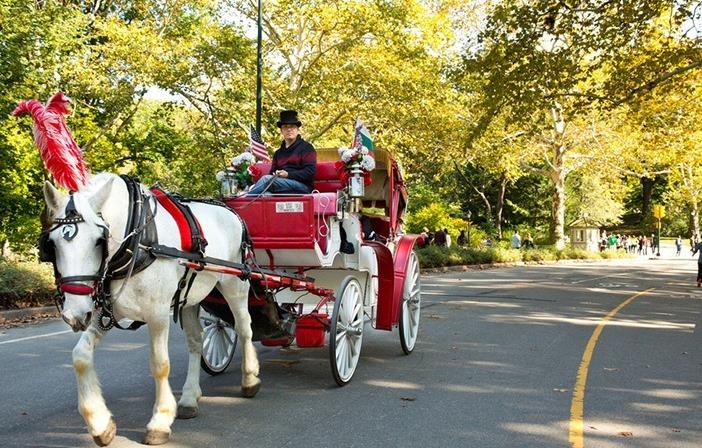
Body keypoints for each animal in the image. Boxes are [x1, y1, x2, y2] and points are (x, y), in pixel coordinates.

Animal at [42, 173, 262, 446]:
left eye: (98, 241)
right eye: (52, 244)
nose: (73, 315)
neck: (138, 242)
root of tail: (231, 211)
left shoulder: (157, 314)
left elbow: (160, 364)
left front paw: (160, 421)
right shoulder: (105, 312)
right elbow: (80, 357)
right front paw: (100, 423)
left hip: (235, 285)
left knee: (244, 330)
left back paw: (250, 379)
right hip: (190, 296)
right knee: (196, 342)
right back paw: (189, 398)